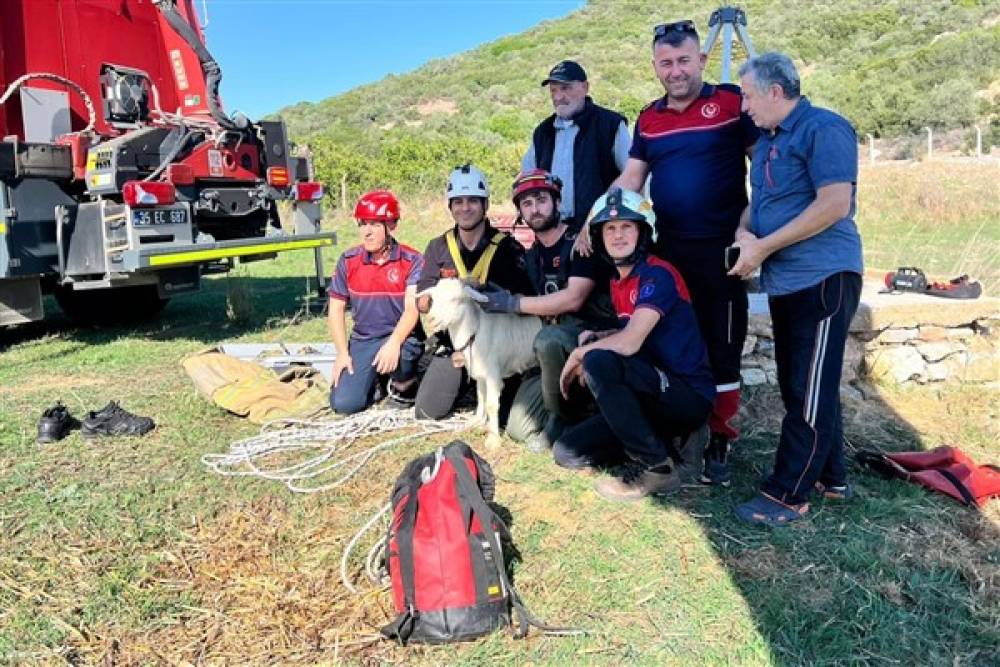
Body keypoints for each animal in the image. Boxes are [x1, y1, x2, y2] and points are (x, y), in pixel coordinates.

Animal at [422, 280, 548, 446]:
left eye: (456, 299)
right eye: (433, 299)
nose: (431, 320)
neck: (476, 331)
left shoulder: (493, 375)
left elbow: (491, 405)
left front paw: (493, 439)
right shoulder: (480, 373)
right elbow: (481, 398)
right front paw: (476, 423)